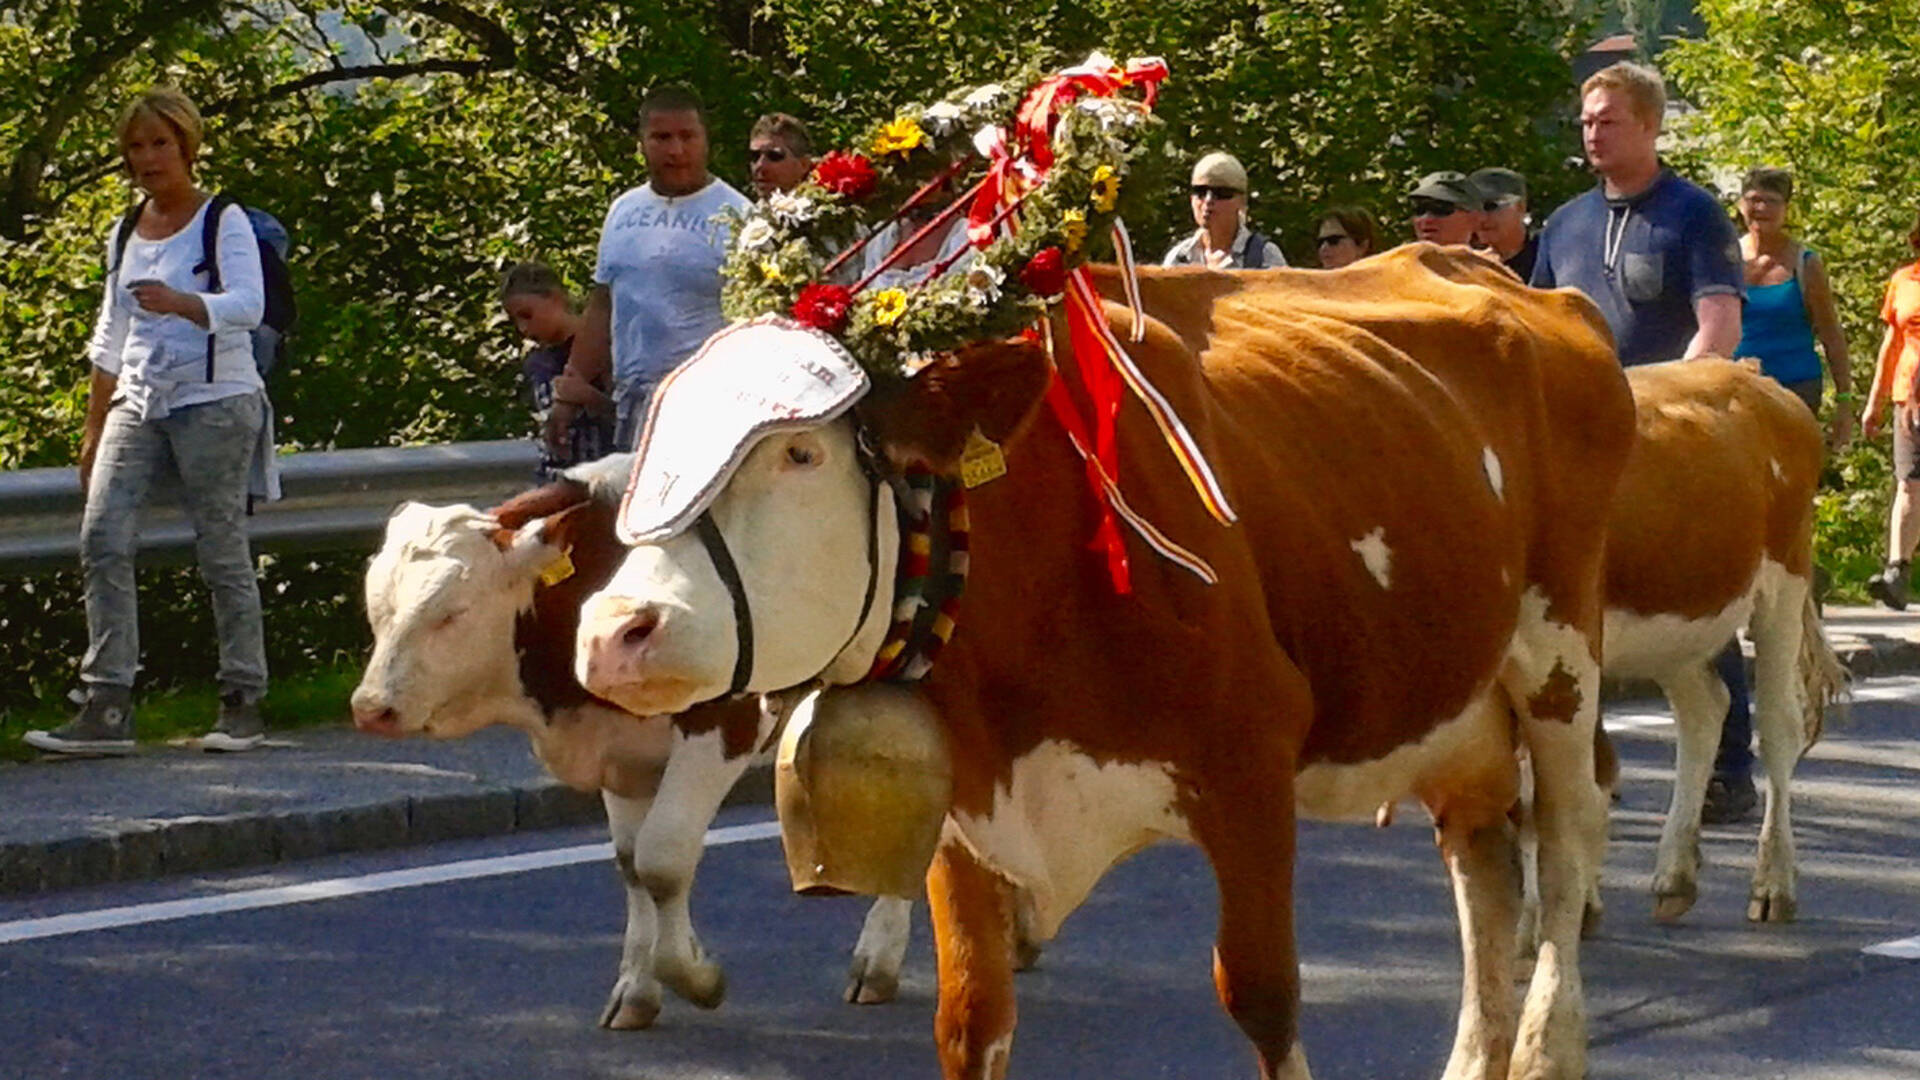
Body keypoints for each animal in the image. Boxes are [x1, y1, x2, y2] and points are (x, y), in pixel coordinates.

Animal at [355, 453, 921, 1022]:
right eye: (376, 610)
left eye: (452, 612)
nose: (370, 707)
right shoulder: (619, 750)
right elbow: (632, 864)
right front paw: (636, 987)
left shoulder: (724, 725)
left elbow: (663, 859)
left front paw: (695, 976)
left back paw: (877, 962)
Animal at [579, 244, 1635, 1076]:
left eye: (799, 454)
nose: (611, 631)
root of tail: (1502, 274)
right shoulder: (966, 810)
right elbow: (969, 1017)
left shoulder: (1249, 771)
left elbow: (1263, 996)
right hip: (1459, 704)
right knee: (1482, 864)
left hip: (1561, 657)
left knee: (1565, 846)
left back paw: (1548, 1047)